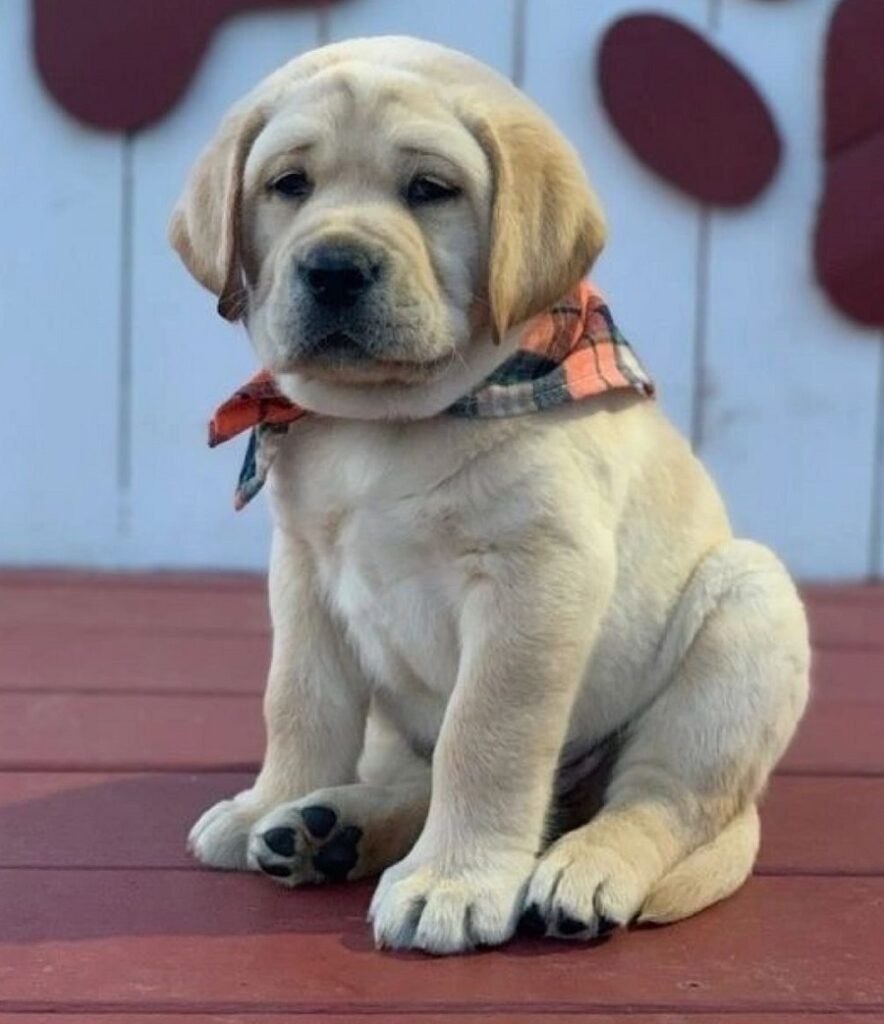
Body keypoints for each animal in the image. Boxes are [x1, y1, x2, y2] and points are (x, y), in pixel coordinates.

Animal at [173, 37, 807, 950]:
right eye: (289, 184)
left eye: (430, 190)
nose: (334, 268)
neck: (386, 421)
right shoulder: (303, 574)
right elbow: (298, 701)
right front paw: (271, 798)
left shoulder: (534, 577)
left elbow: (485, 736)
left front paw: (454, 881)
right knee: (416, 773)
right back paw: (329, 827)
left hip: (745, 615)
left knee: (657, 802)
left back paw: (584, 868)